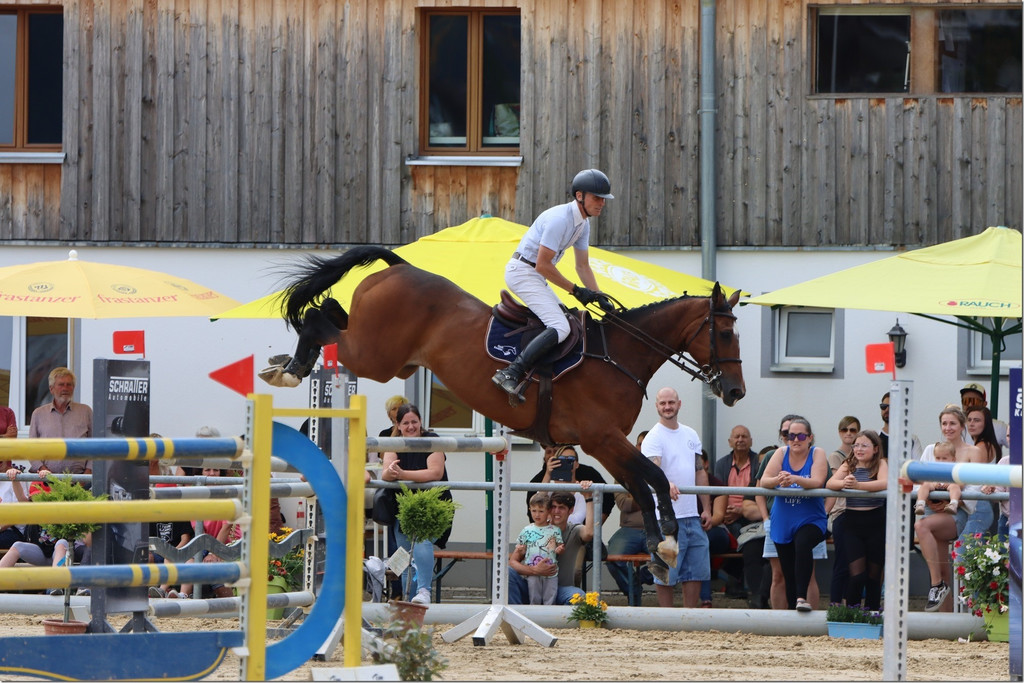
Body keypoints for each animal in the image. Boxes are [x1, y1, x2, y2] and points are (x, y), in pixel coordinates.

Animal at [261, 246, 745, 580]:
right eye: (724, 333)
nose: (735, 391)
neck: (620, 355)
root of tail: (399, 266)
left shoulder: (607, 445)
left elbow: (644, 485)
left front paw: (662, 549)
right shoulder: (603, 438)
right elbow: (654, 479)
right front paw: (667, 544)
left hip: (392, 361)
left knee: (331, 313)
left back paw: (288, 364)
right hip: (373, 356)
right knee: (322, 318)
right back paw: (289, 368)